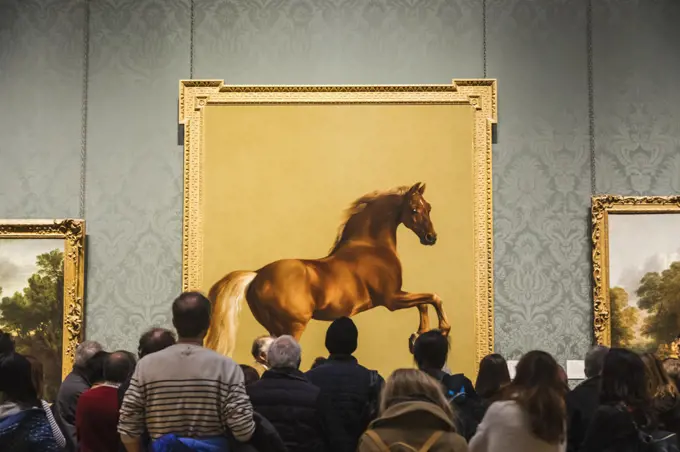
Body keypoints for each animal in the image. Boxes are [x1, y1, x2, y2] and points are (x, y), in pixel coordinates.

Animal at [207, 182, 452, 354]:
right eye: (414, 209)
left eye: (428, 207)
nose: (431, 237)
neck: (372, 247)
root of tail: (257, 275)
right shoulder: (392, 299)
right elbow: (433, 297)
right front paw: (441, 329)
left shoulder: (398, 295)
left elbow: (423, 303)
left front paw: (418, 335)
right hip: (293, 326)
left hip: (274, 327)